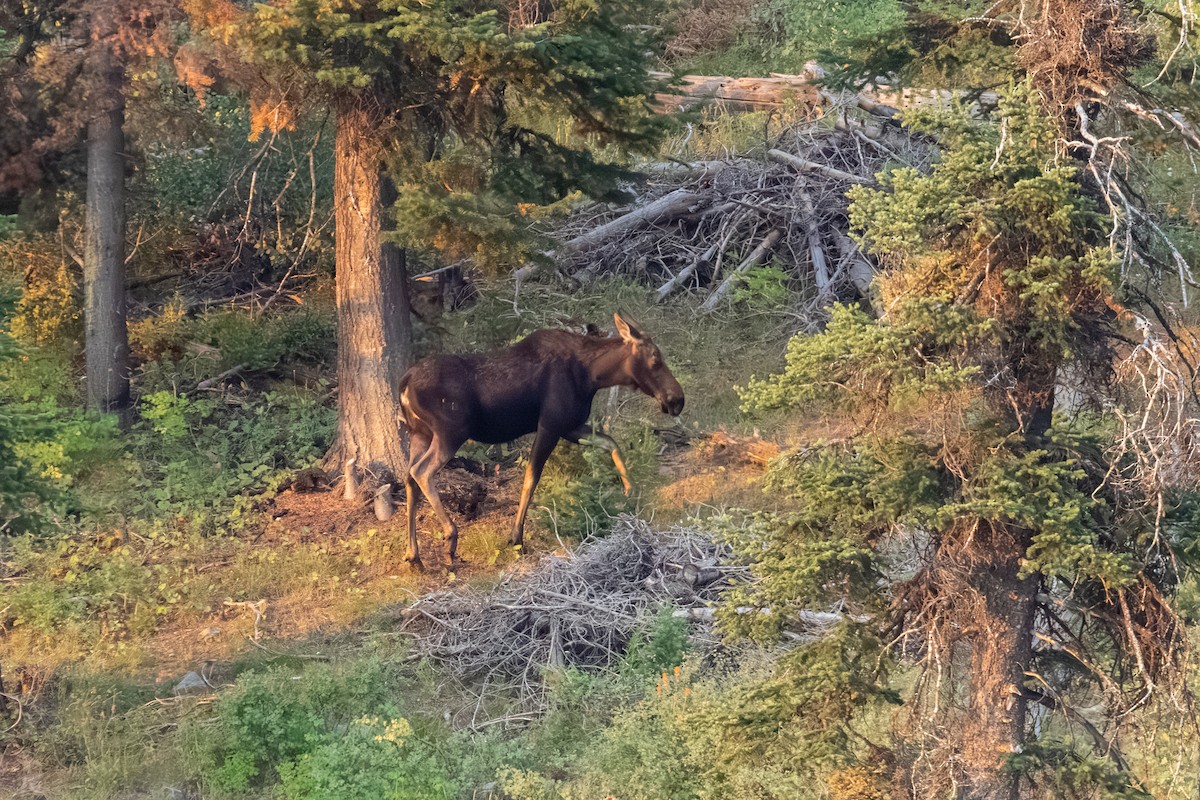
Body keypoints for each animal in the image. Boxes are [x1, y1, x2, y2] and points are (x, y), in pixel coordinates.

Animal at [397, 312, 685, 568]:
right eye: (655, 360)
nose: (677, 400)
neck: (593, 376)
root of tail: (404, 382)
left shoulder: (570, 425)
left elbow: (611, 442)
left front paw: (629, 490)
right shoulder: (550, 424)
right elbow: (531, 478)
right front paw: (516, 538)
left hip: (419, 433)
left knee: (409, 476)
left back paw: (414, 555)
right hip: (451, 432)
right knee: (421, 471)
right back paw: (450, 535)